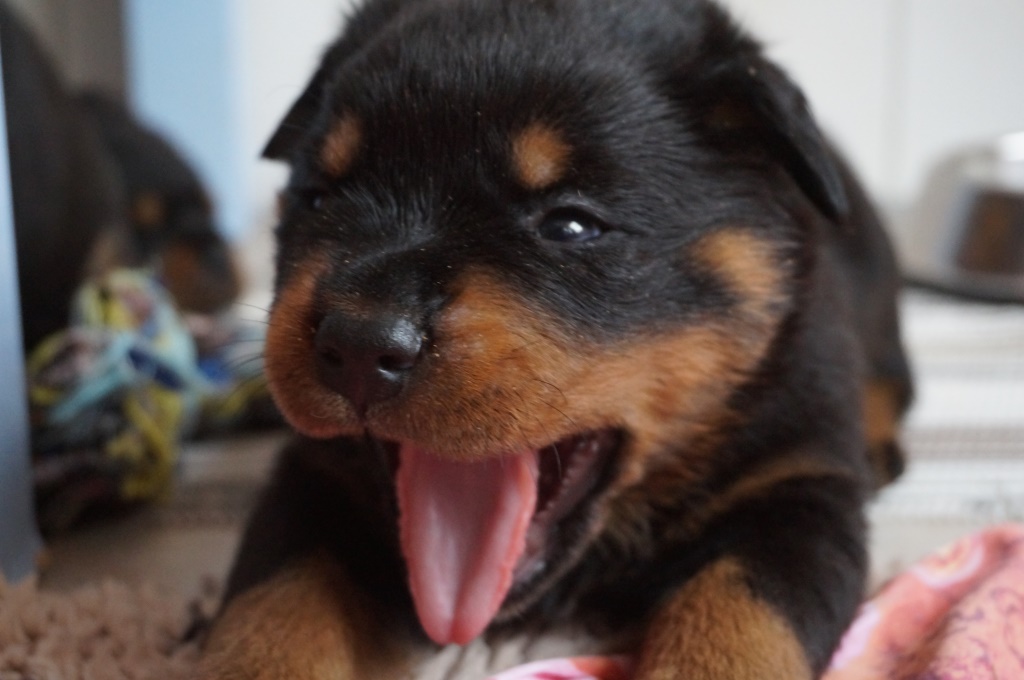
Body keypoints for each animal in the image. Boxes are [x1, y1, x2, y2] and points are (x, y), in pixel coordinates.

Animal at [199, 0, 912, 677]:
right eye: (317, 199)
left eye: (571, 225)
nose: (358, 342)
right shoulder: (315, 478)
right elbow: (274, 603)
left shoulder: (799, 486)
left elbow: (741, 621)